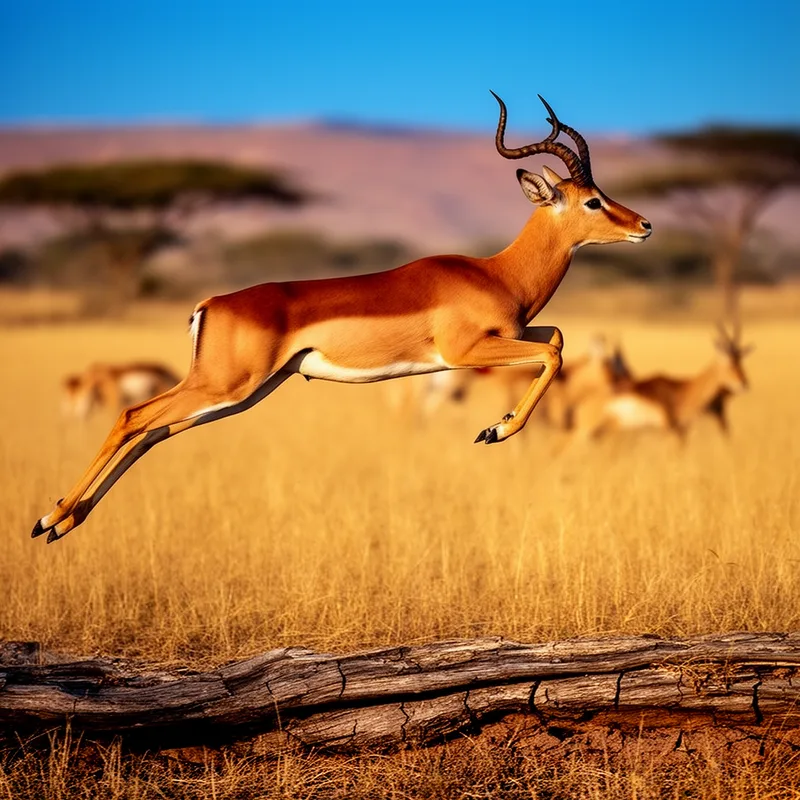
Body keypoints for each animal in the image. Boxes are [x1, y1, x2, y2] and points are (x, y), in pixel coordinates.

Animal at [32, 93, 651, 542]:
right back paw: (50, 518)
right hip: (224, 385)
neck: (498, 273)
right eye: (592, 200)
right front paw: (494, 429)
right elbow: (553, 352)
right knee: (133, 416)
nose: (644, 225)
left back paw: (65, 521)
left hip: (234, 395)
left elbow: (558, 339)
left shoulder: (511, 334)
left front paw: (495, 423)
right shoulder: (464, 352)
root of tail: (210, 306)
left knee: (153, 432)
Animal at [572, 325, 751, 440]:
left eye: (740, 361)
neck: (682, 390)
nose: (744, 384)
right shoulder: (670, 430)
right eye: (728, 362)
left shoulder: (681, 432)